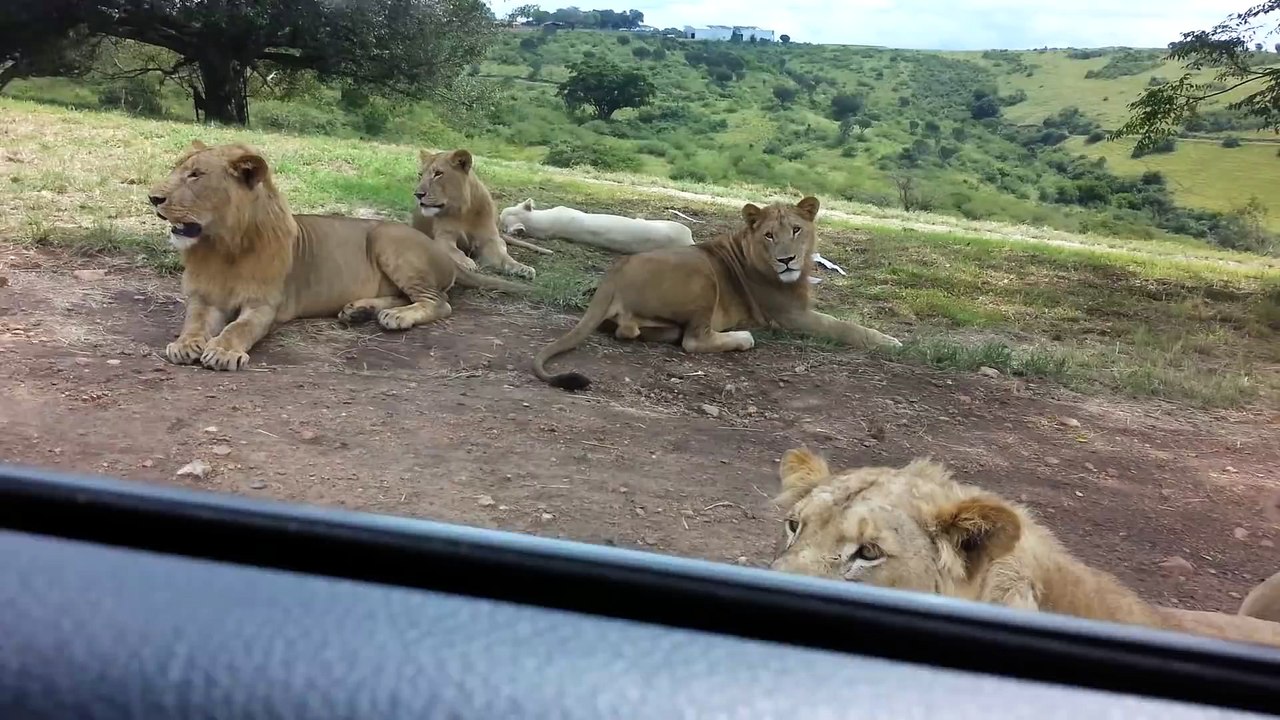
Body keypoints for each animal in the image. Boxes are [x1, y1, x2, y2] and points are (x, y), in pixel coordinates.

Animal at [149, 140, 530, 372]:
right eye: (176, 170)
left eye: (195, 175)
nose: (153, 197)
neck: (223, 246)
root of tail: (444, 252)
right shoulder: (203, 299)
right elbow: (194, 322)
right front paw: (185, 345)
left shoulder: (264, 306)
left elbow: (238, 328)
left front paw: (223, 351)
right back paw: (361, 310)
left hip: (386, 238)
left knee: (439, 303)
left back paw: (396, 317)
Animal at [411, 149, 553, 281]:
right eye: (420, 175)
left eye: (438, 174)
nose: (417, 194)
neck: (464, 212)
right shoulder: (444, 238)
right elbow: (454, 250)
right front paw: (467, 263)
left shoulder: (489, 239)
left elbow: (504, 258)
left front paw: (522, 268)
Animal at [531, 196, 902, 391]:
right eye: (769, 235)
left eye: (797, 230)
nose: (786, 260)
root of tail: (614, 271)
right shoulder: (790, 315)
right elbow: (845, 327)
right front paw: (890, 341)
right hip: (704, 276)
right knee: (694, 340)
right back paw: (743, 338)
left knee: (633, 331)